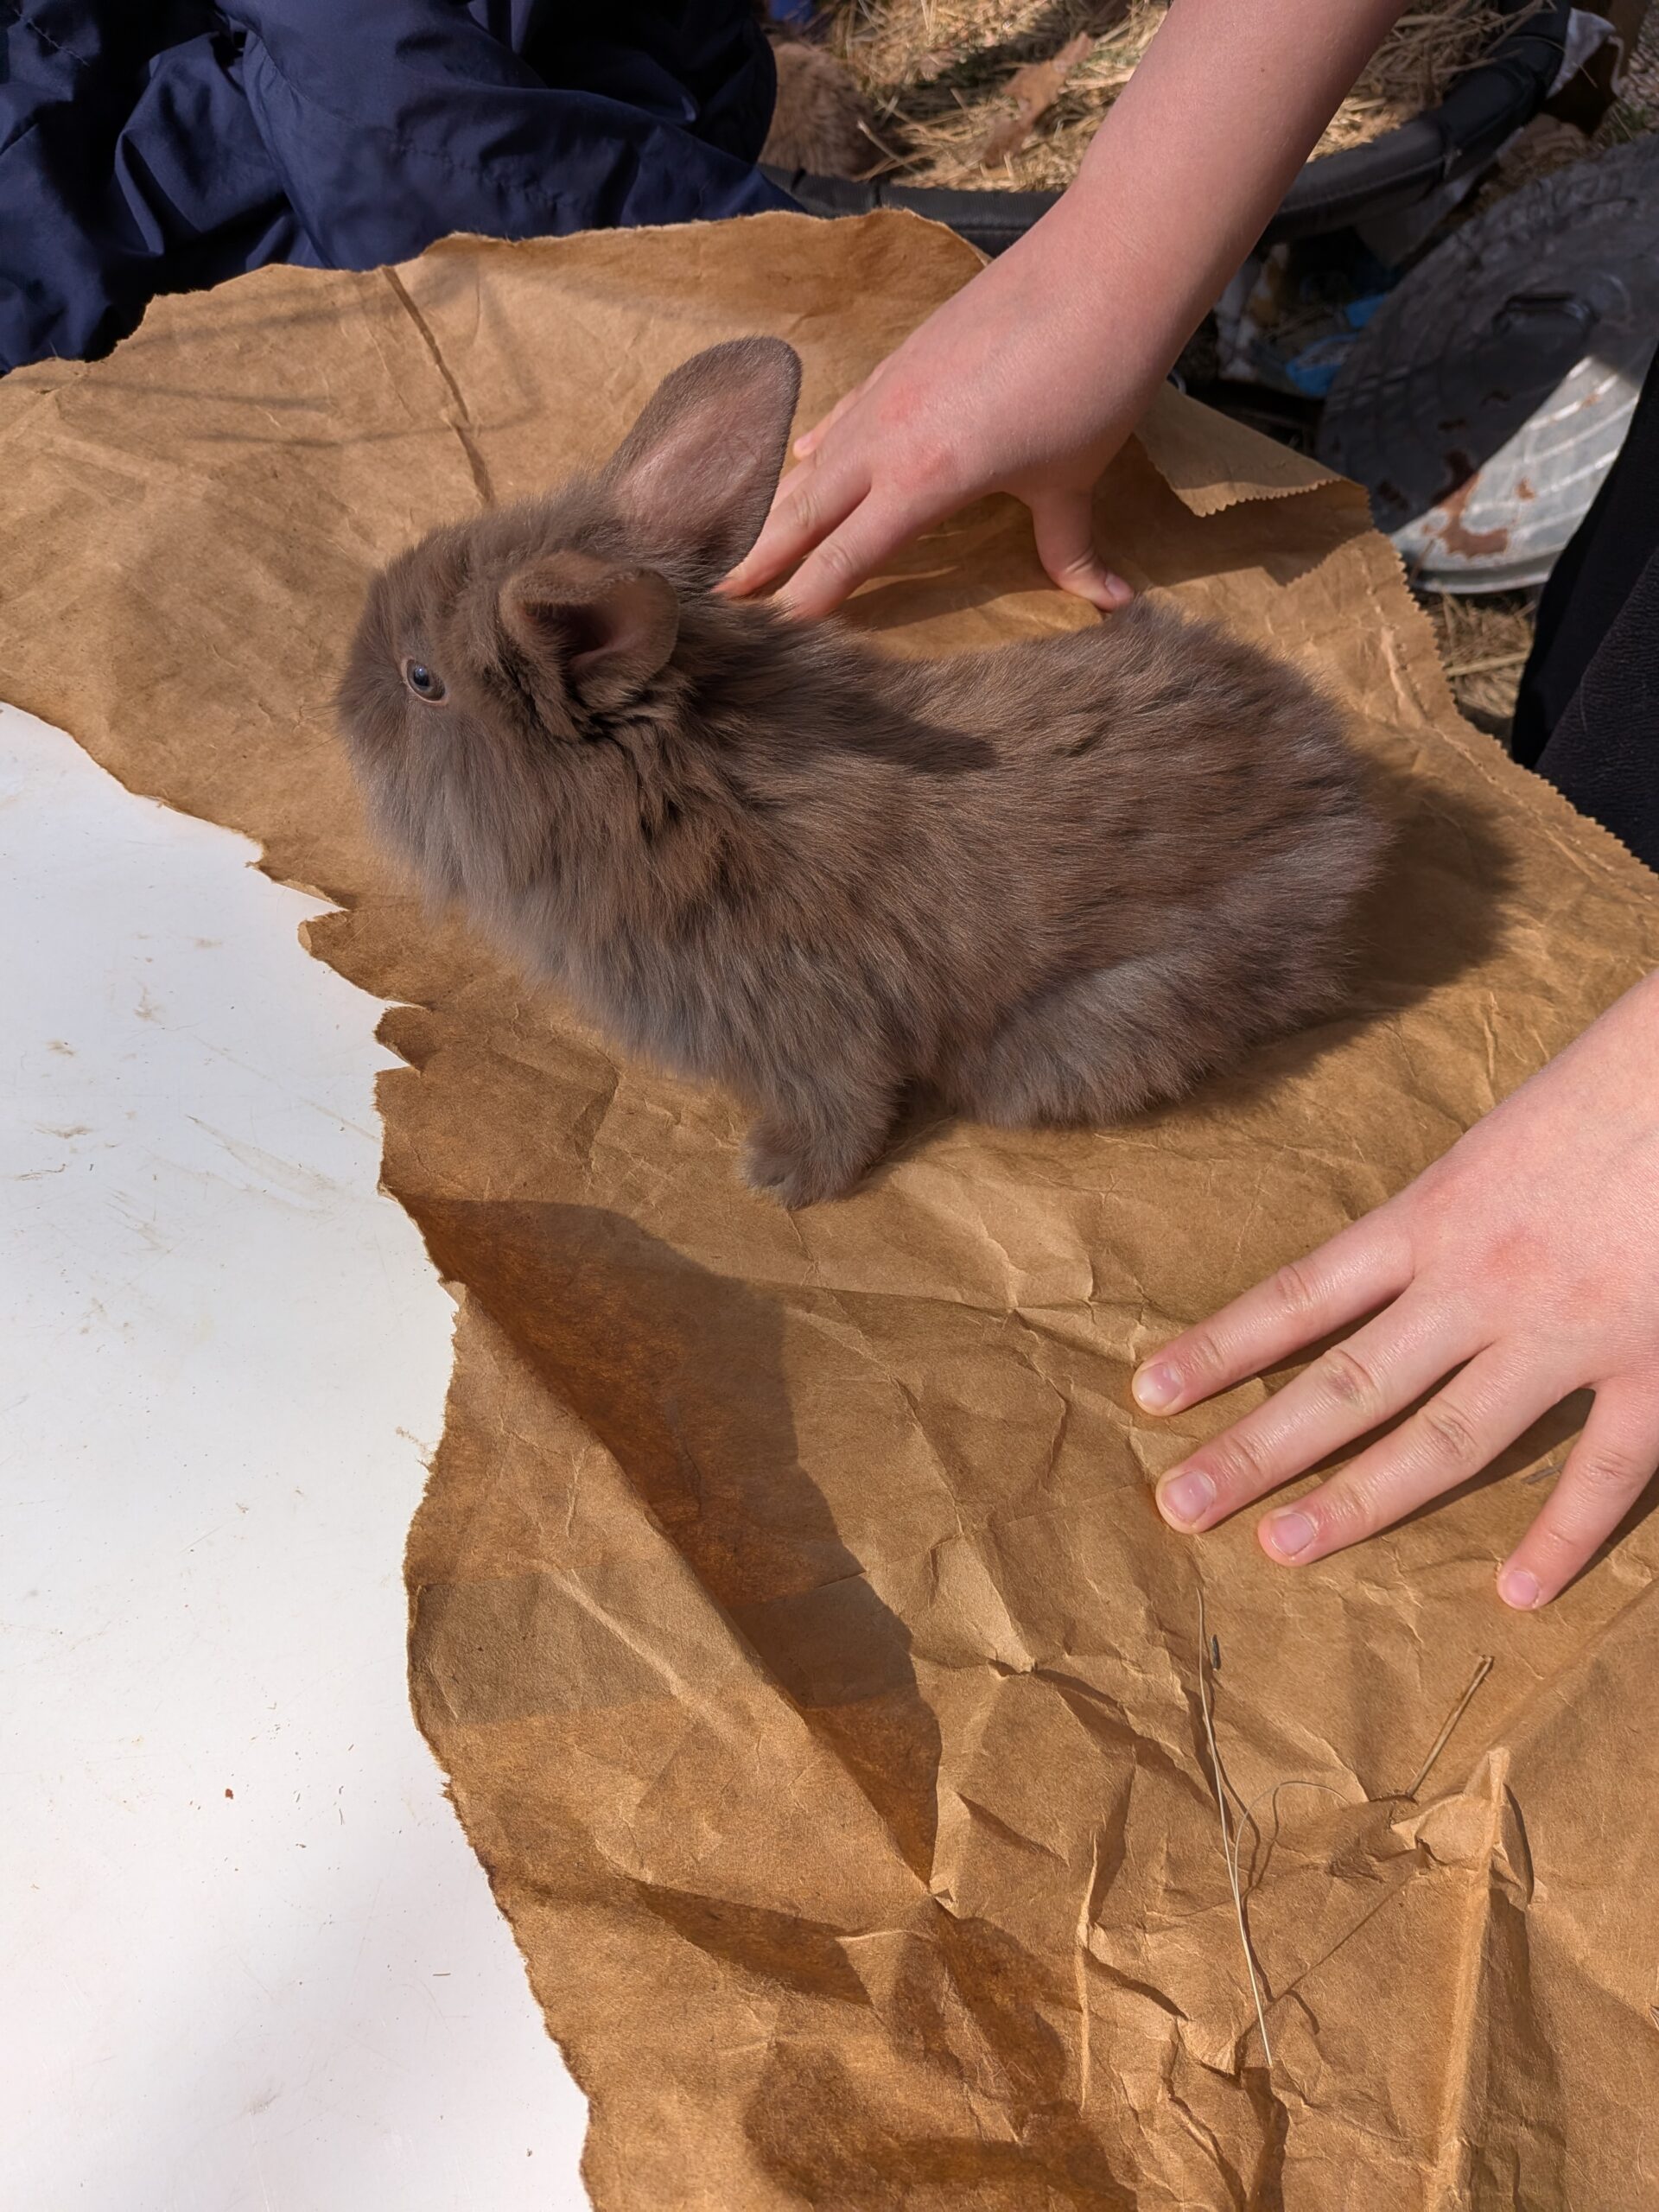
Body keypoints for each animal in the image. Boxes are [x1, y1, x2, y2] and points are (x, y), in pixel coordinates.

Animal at [337, 337, 1387, 1209]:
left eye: (422, 679)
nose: (342, 700)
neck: (686, 798)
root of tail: (1351, 799)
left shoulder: (812, 1031)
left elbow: (845, 1110)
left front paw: (779, 1181)